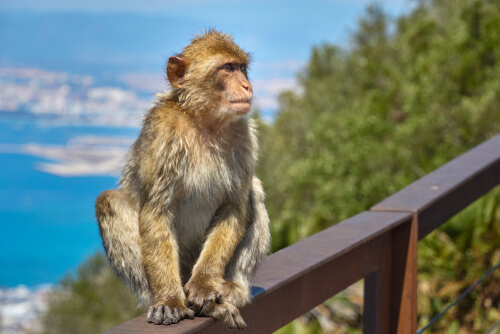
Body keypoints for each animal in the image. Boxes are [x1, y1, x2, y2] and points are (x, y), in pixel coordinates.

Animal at [95, 29, 272, 328]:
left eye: (242, 68)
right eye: (227, 68)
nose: (247, 86)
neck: (205, 123)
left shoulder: (243, 136)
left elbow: (234, 206)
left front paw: (204, 284)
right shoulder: (163, 134)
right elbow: (157, 212)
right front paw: (169, 301)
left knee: (254, 191)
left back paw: (229, 291)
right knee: (108, 201)